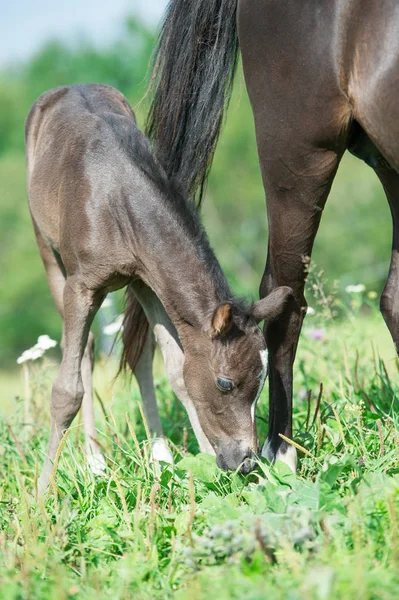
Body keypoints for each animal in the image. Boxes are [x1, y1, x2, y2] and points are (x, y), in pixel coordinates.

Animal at [26, 83, 292, 488]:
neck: (115, 196)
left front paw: (206, 466)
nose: (245, 461)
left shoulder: (148, 280)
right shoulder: (80, 286)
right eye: (225, 383)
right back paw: (94, 461)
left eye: (261, 384)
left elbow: (179, 370)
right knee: (86, 348)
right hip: (47, 249)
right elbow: (66, 390)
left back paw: (160, 456)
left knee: (140, 354)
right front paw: (42, 493)